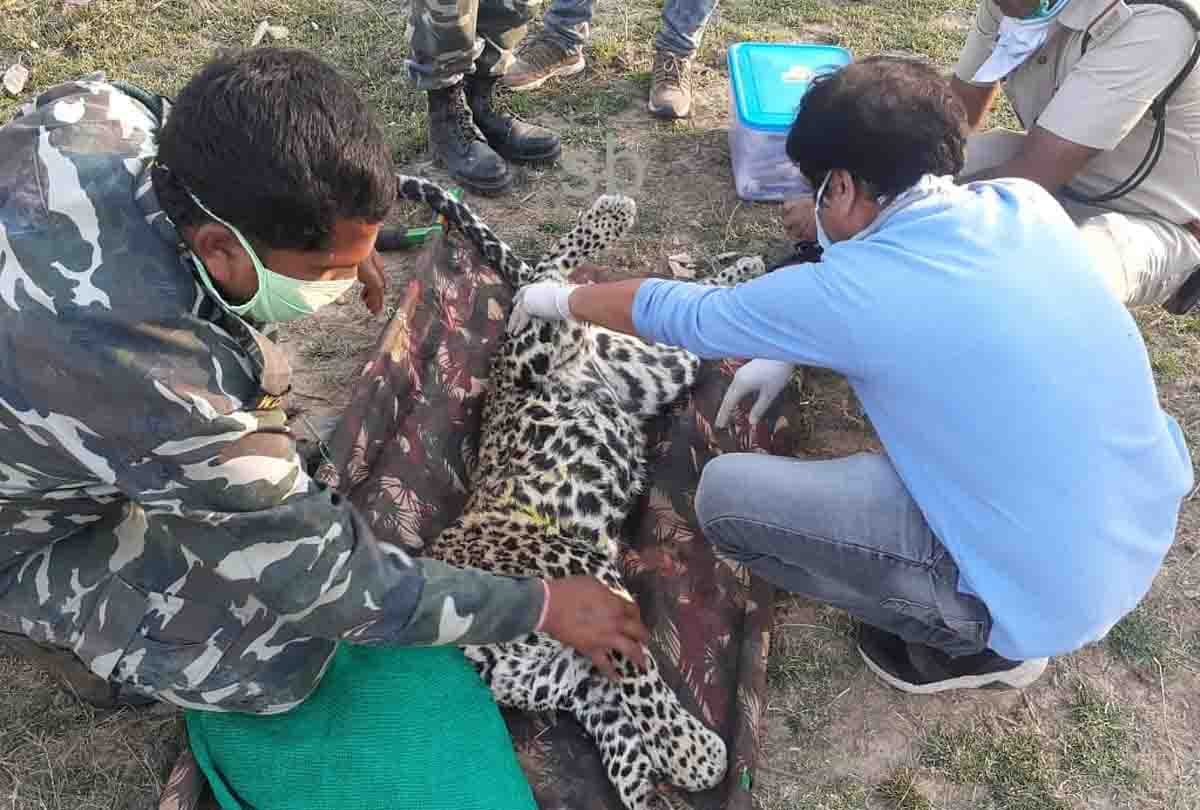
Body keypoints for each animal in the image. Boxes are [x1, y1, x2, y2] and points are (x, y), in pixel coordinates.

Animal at [395, 174, 768, 810]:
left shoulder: (583, 576)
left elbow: (642, 677)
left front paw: (694, 755)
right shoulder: (585, 684)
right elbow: (627, 750)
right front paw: (672, 770)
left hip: (542, 345)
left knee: (544, 278)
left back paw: (612, 215)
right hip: (652, 365)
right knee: (682, 311)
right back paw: (746, 268)